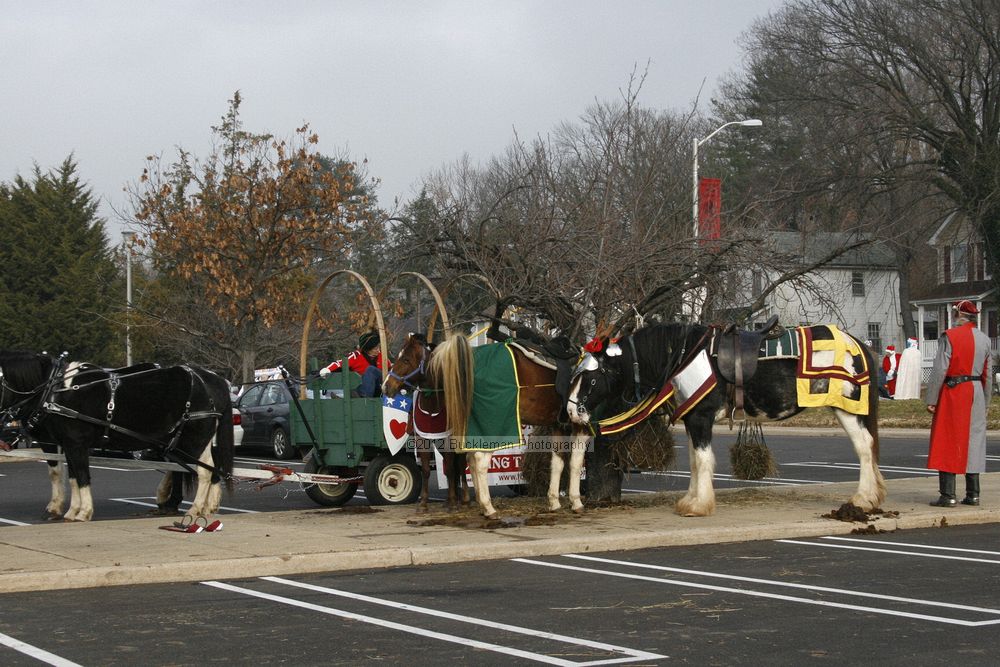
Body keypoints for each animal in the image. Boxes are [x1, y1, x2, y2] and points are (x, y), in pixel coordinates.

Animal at [0, 350, 234, 520]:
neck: (55, 391)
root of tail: (212, 379)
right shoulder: (66, 444)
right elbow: (71, 476)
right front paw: (69, 511)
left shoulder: (75, 443)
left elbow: (80, 475)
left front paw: (83, 512)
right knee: (204, 468)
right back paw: (203, 506)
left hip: (194, 439)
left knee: (204, 471)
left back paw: (195, 508)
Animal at [380, 334, 584, 520]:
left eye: (406, 359)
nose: (385, 387)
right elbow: (574, 461)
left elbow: (559, 461)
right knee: (474, 461)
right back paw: (483, 505)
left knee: (466, 462)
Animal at [568, 324, 888, 516]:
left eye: (592, 379)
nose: (572, 412)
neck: (684, 356)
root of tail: (857, 344)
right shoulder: (692, 419)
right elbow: (694, 461)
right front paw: (690, 500)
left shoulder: (701, 418)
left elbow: (703, 460)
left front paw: (700, 505)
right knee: (870, 447)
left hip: (848, 409)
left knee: (864, 448)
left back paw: (863, 499)